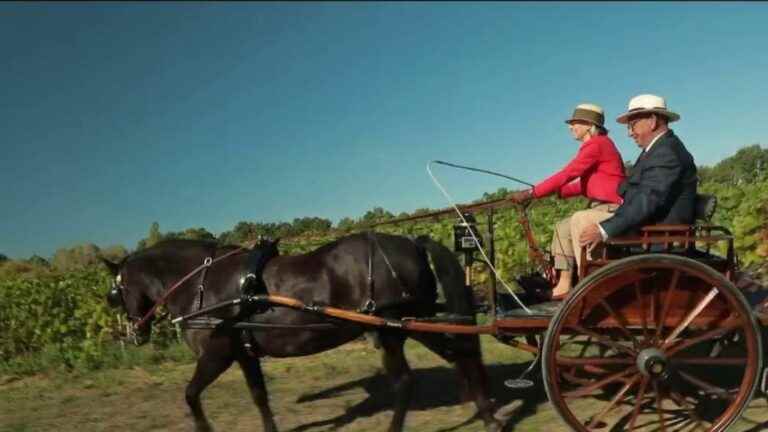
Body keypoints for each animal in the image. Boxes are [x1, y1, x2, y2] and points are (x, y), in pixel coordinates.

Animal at [100, 233, 498, 432]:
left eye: (116, 290)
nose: (135, 333)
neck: (203, 283)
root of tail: (413, 243)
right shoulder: (244, 353)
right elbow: (259, 396)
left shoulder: (218, 353)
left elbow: (190, 394)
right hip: (414, 323)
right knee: (460, 354)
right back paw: (486, 412)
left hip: (393, 329)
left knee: (408, 380)